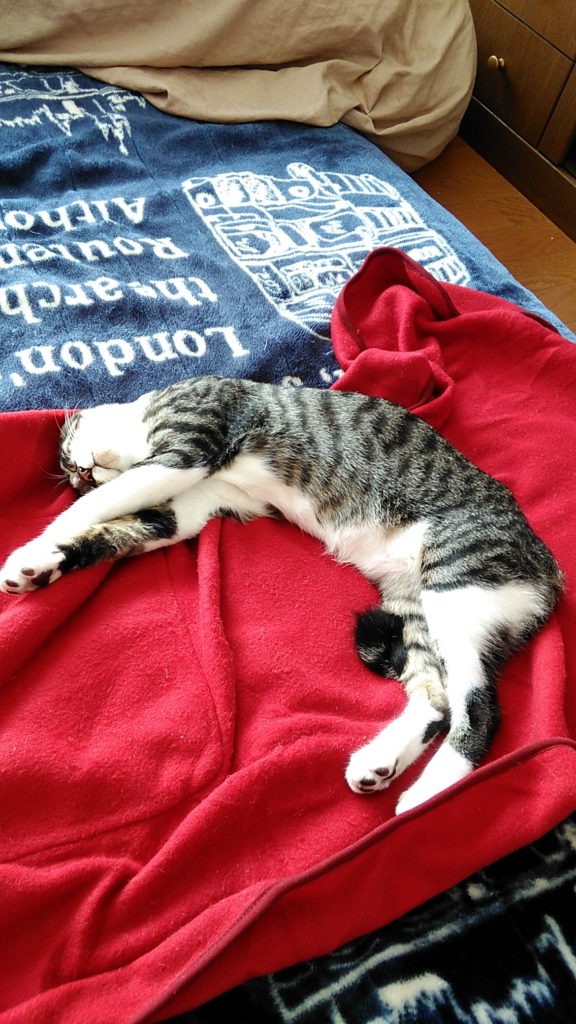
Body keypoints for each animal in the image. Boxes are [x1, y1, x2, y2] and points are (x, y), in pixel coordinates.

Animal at [0, 376, 562, 814]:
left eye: (69, 460)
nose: (81, 472)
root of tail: (551, 573)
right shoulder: (187, 506)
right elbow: (110, 528)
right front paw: (39, 566)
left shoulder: (188, 448)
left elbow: (91, 510)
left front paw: (32, 543)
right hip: (413, 607)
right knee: (436, 699)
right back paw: (379, 764)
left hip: (455, 583)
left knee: (480, 708)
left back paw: (426, 795)